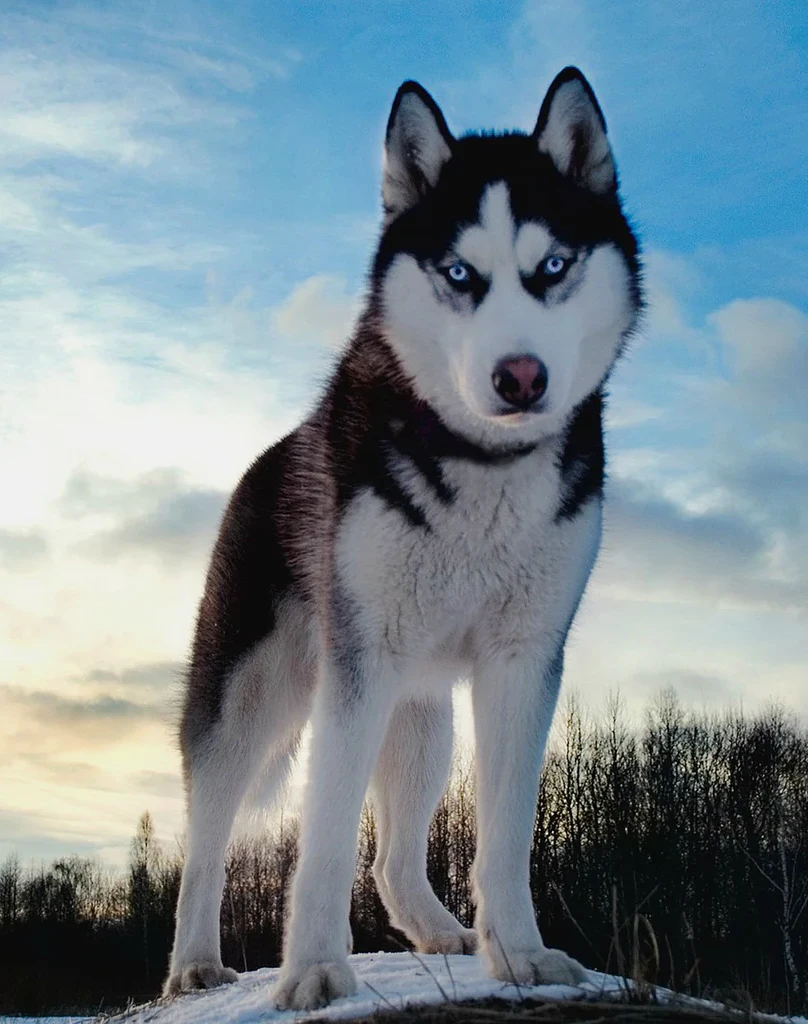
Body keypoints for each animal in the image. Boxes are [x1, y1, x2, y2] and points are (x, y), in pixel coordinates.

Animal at [165, 68, 643, 1011]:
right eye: (460, 272)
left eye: (553, 267)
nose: (520, 376)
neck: (482, 467)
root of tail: (267, 458)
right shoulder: (358, 667)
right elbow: (320, 840)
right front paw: (314, 969)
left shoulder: (523, 662)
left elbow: (505, 834)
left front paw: (520, 956)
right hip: (252, 699)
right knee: (206, 841)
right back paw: (195, 963)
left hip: (422, 719)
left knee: (390, 858)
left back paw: (437, 931)